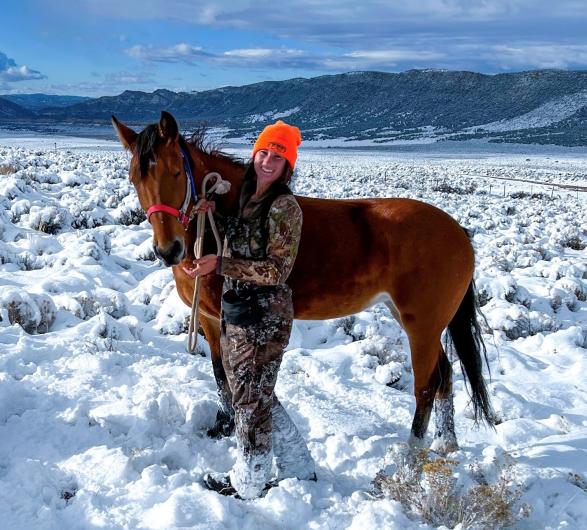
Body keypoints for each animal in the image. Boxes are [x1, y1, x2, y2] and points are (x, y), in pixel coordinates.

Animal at [111, 109, 492, 452]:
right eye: (134, 179)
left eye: (176, 172)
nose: (169, 250)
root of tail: (458, 231)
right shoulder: (206, 319)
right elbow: (220, 374)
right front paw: (224, 426)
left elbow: (234, 379)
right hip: (418, 322)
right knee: (445, 375)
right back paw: (446, 445)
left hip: (422, 326)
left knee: (427, 385)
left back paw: (411, 456)